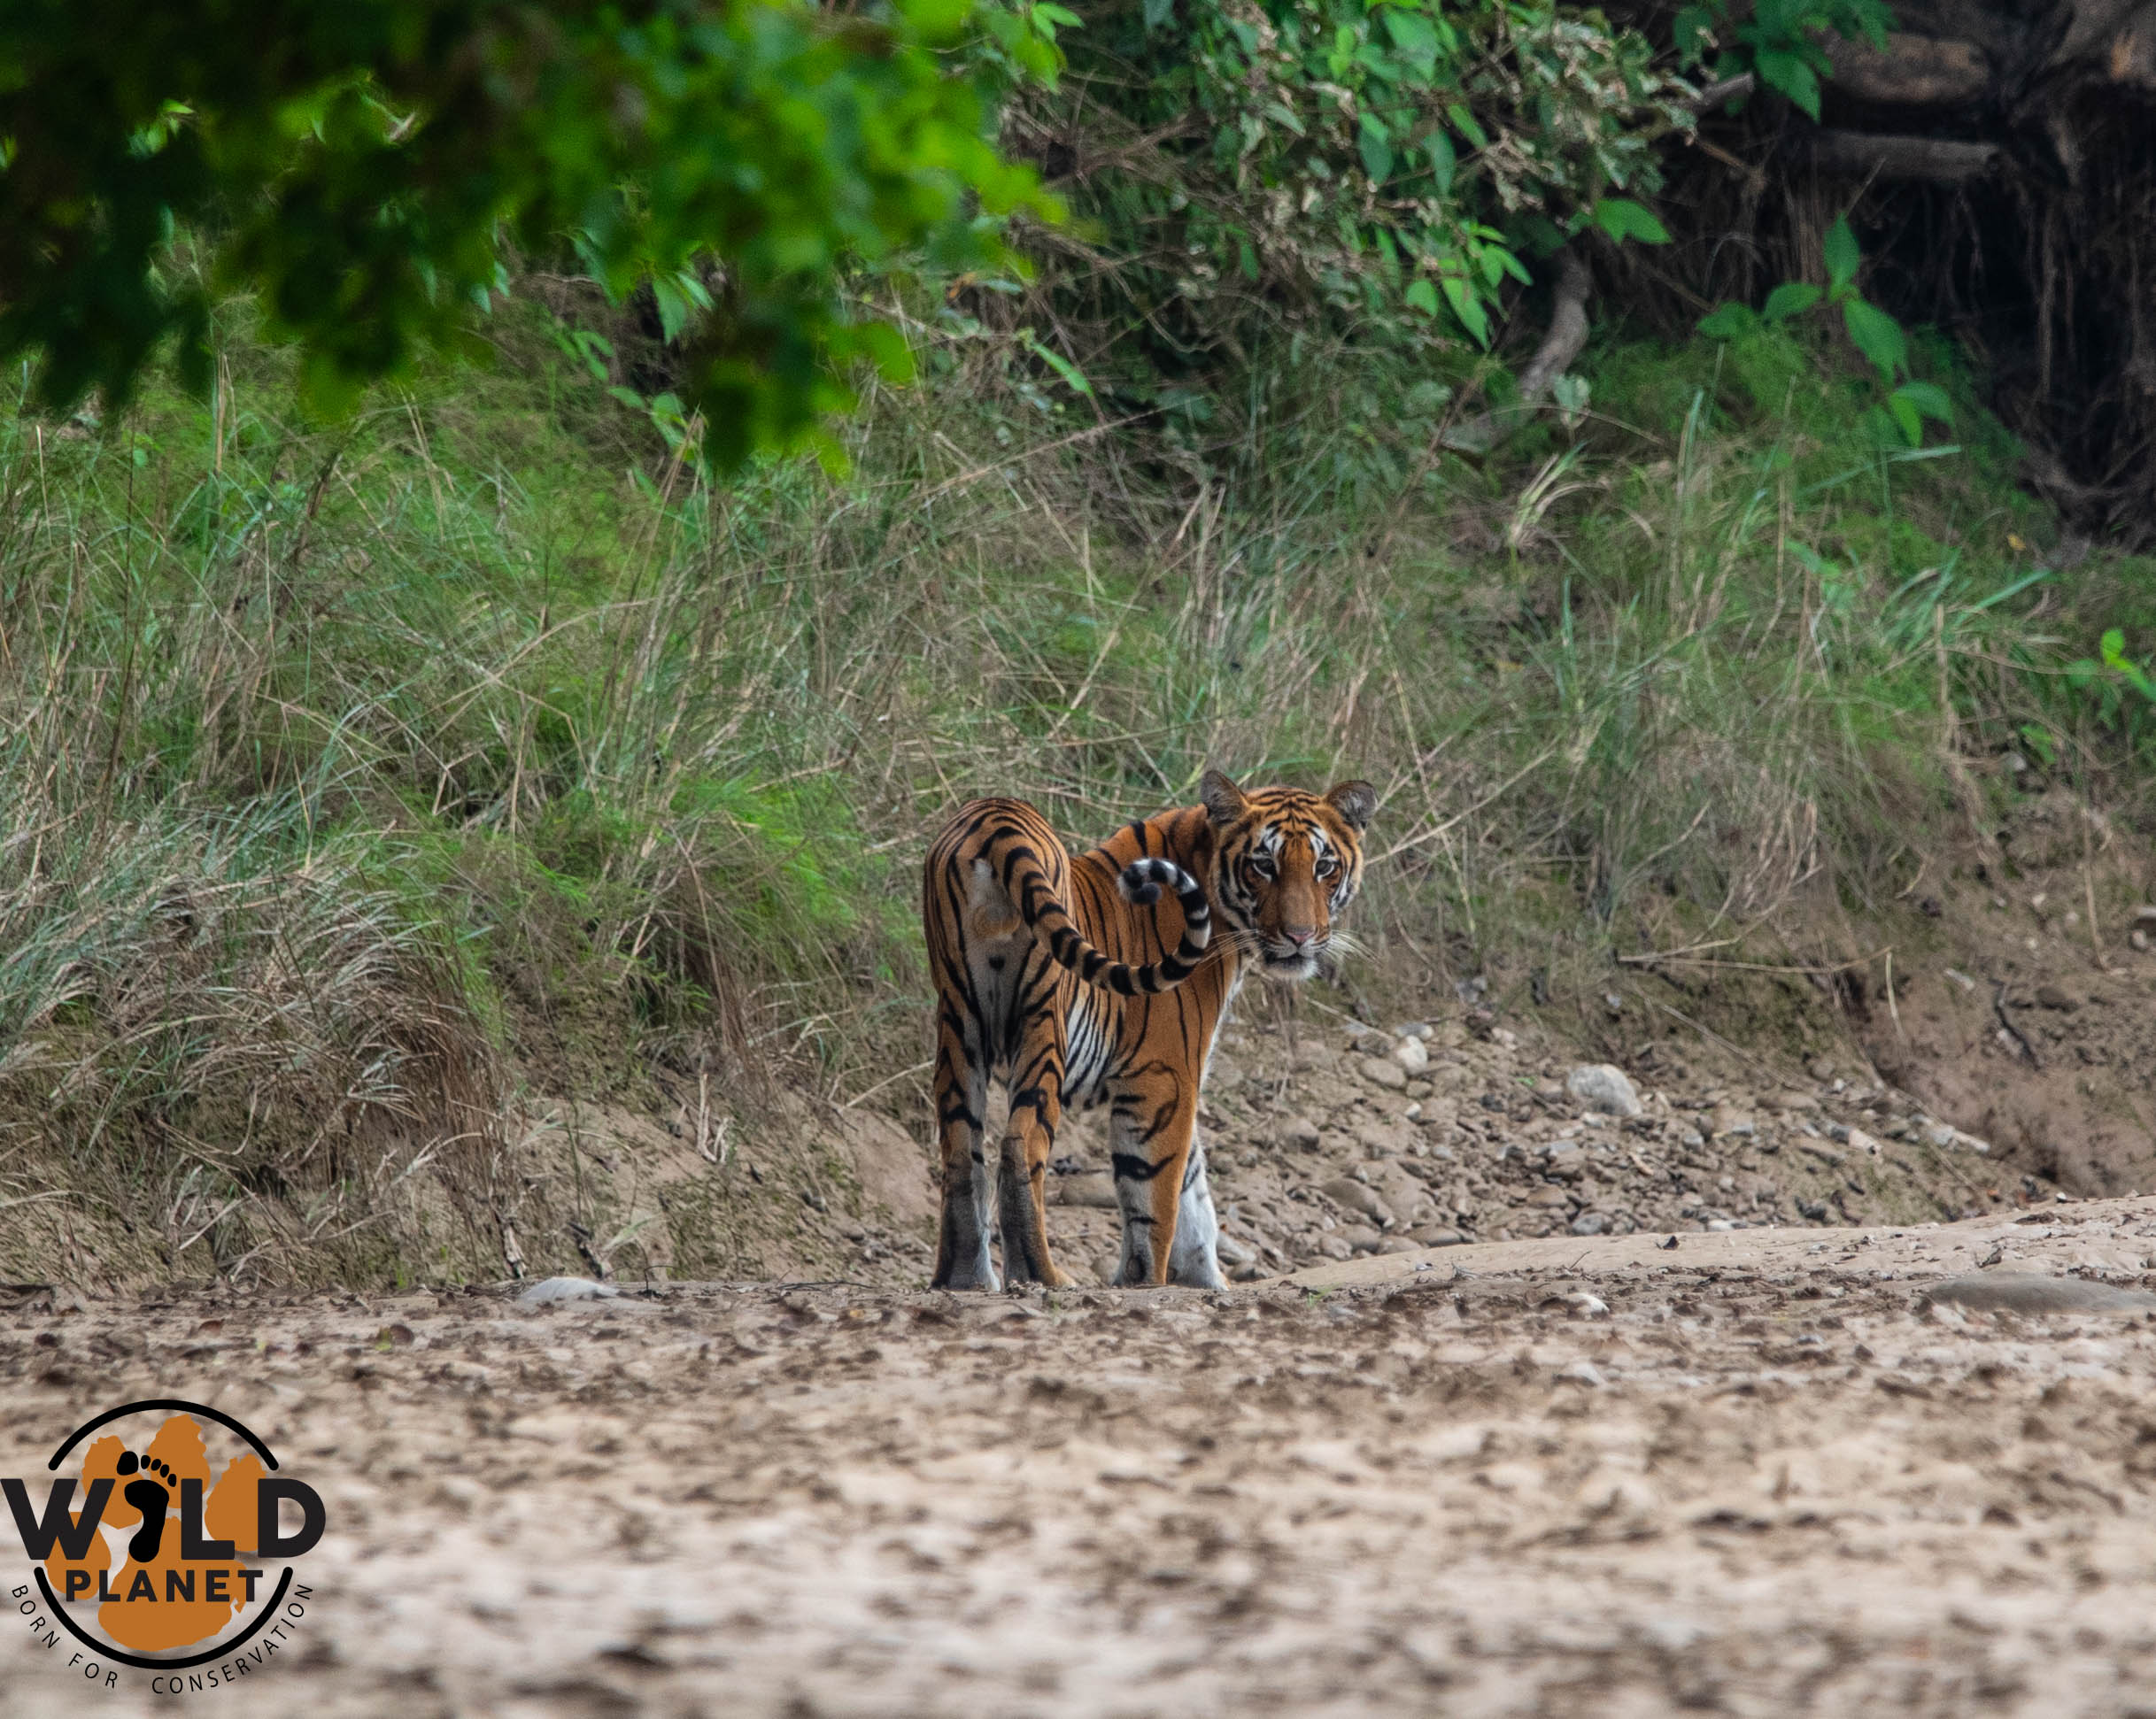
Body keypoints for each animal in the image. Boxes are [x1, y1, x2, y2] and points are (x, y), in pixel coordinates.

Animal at [921, 768, 1376, 1291]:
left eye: (1324, 867)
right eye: (1263, 865)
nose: (1300, 937)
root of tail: (998, 818)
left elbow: (1195, 1193)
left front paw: (1205, 1281)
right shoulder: (1167, 1073)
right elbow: (1157, 1191)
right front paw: (1146, 1281)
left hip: (959, 1022)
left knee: (961, 1151)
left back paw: (963, 1279)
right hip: (1043, 1019)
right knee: (1021, 1144)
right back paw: (1043, 1275)